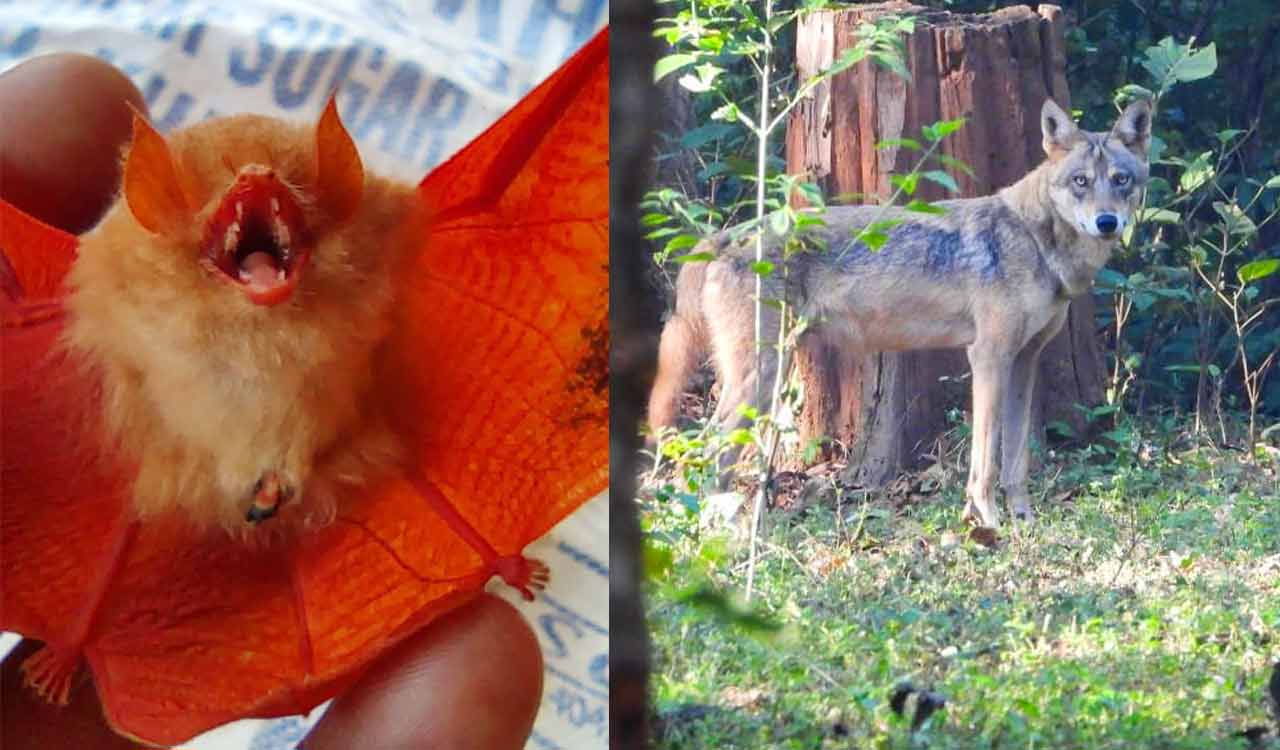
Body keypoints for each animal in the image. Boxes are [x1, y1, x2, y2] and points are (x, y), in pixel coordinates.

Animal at [648, 98, 1152, 528]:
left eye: (1121, 180)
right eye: (1080, 182)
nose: (1108, 223)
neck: (1035, 239)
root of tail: (726, 235)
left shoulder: (1024, 362)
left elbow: (1015, 461)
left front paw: (1025, 521)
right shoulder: (987, 357)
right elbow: (985, 461)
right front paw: (988, 523)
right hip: (762, 377)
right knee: (708, 446)